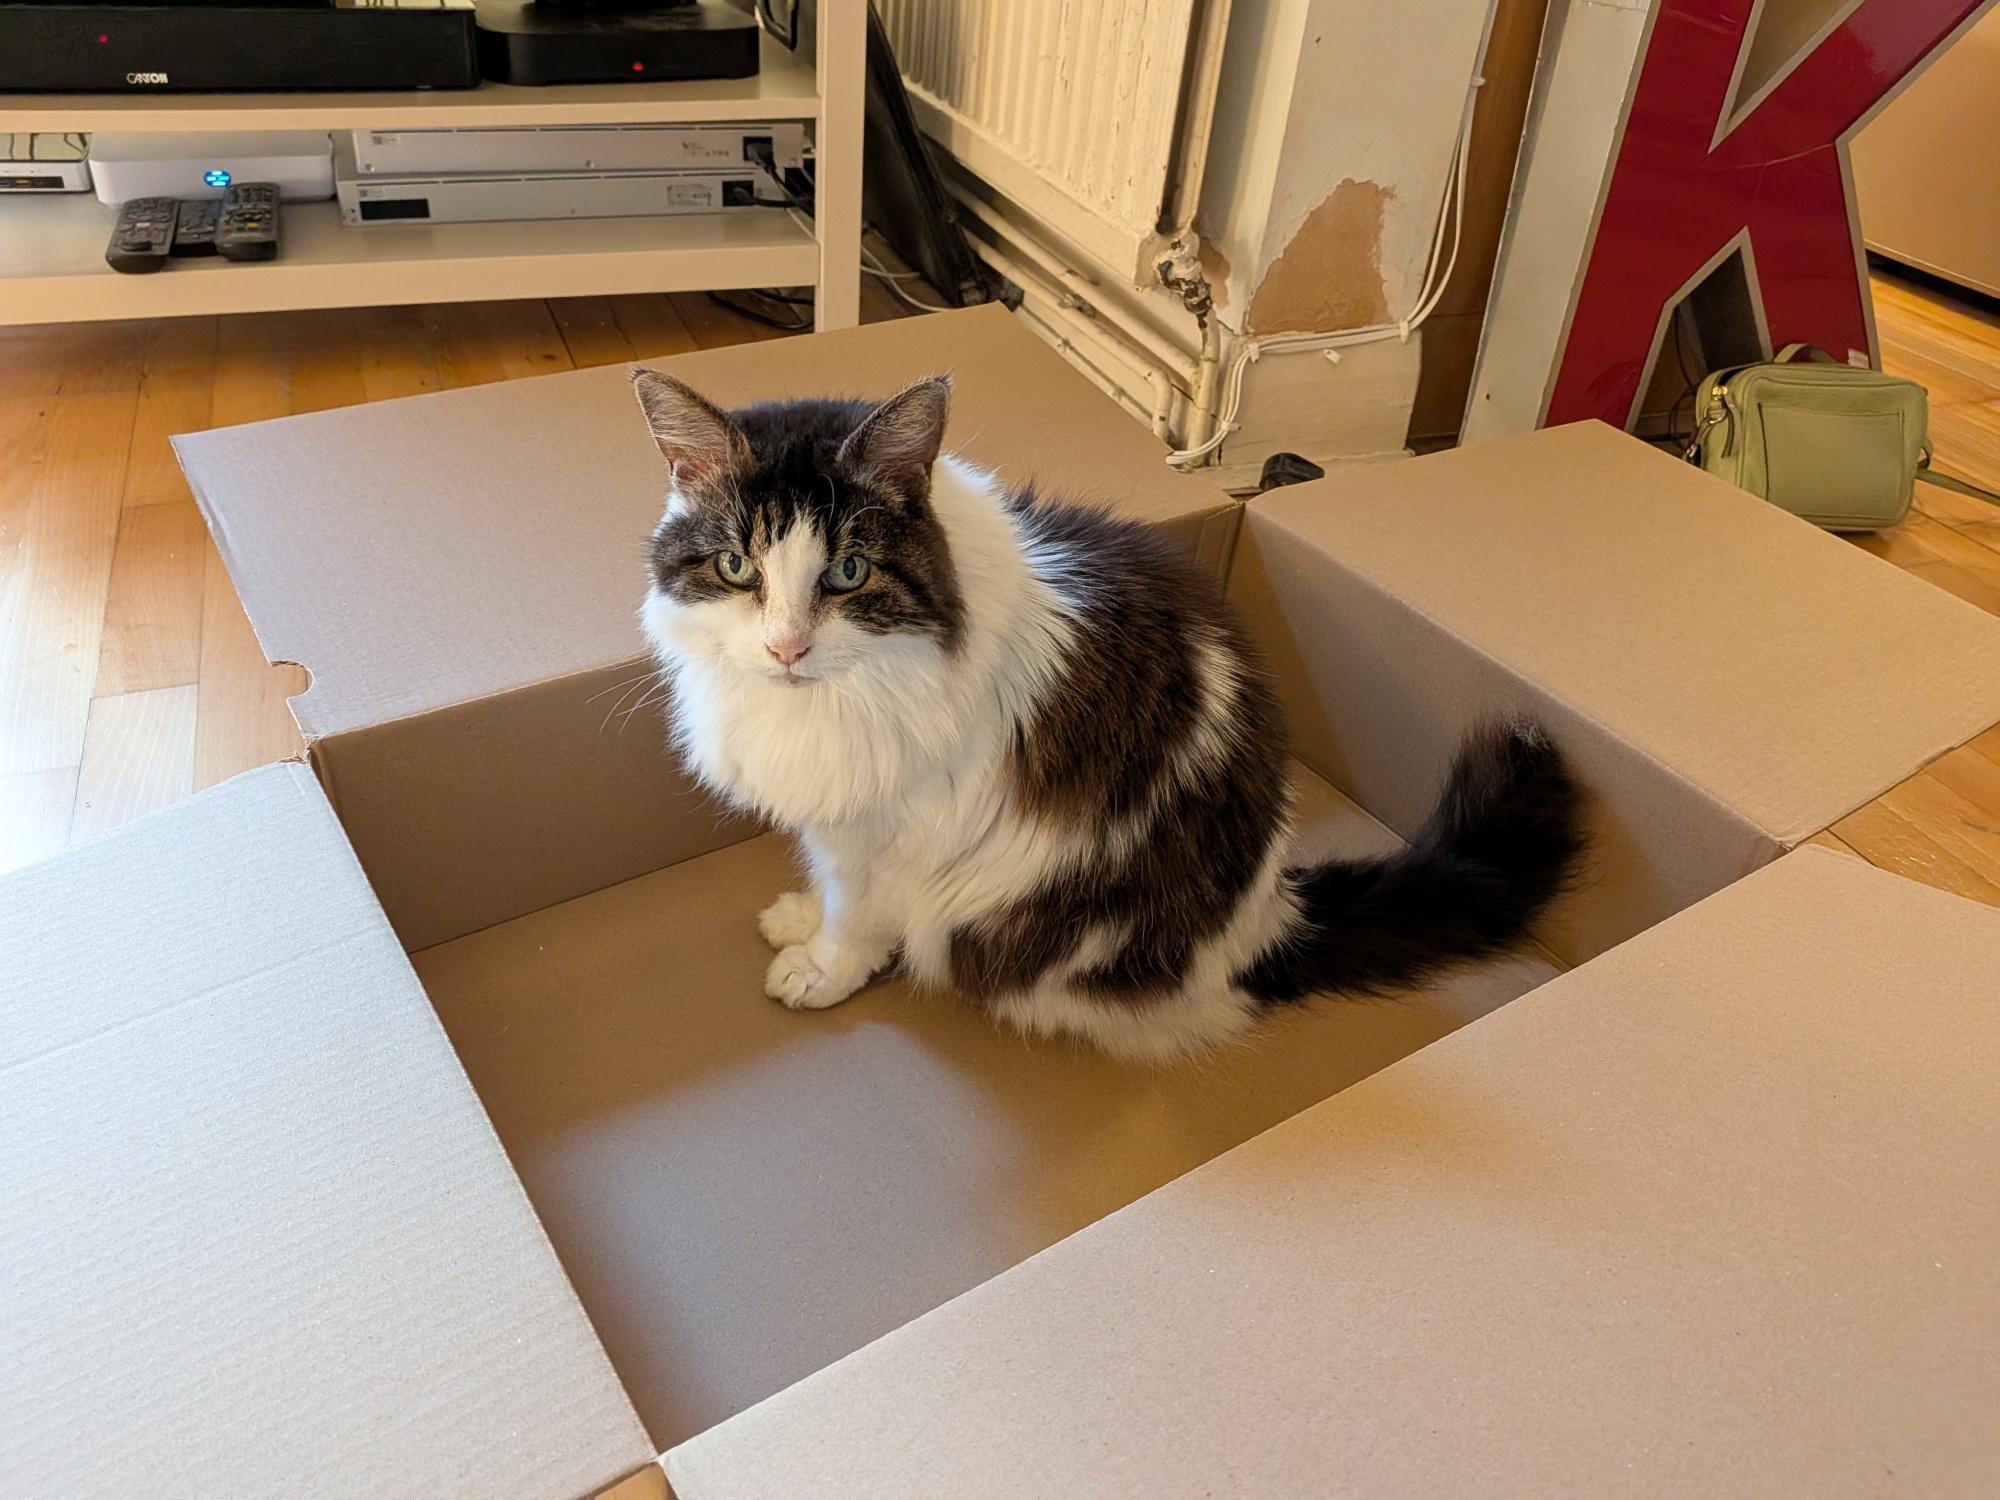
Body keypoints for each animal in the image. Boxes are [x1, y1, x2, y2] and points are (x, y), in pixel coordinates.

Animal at [633, 367, 1586, 1063]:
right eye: (735, 567)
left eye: (848, 573)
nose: (786, 648)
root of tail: (1269, 919)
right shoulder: (835, 819)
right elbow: (827, 886)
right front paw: (798, 914)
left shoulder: (890, 830)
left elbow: (856, 914)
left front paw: (820, 970)